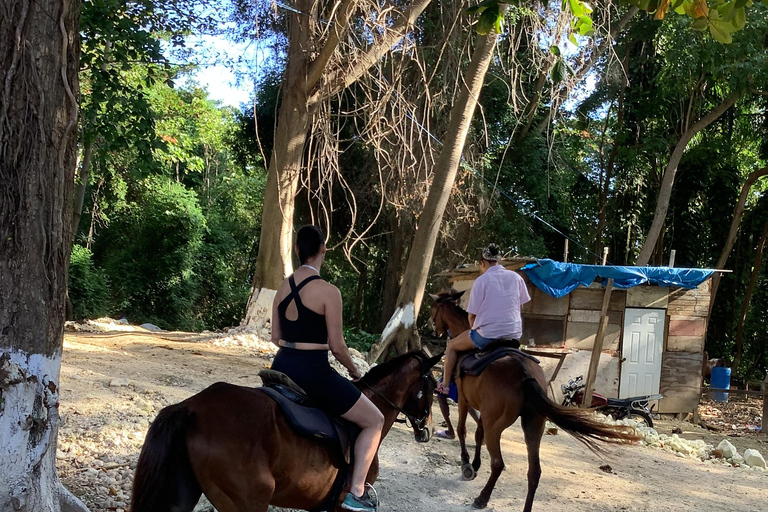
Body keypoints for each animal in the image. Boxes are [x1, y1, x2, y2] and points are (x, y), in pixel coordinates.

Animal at [428, 292, 640, 512]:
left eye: (433, 309)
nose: (430, 325)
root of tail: (524, 373)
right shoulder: (482, 412)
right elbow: (478, 435)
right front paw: (476, 464)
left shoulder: (464, 400)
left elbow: (463, 430)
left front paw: (467, 464)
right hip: (533, 425)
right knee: (534, 471)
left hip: (496, 425)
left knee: (498, 463)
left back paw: (482, 498)